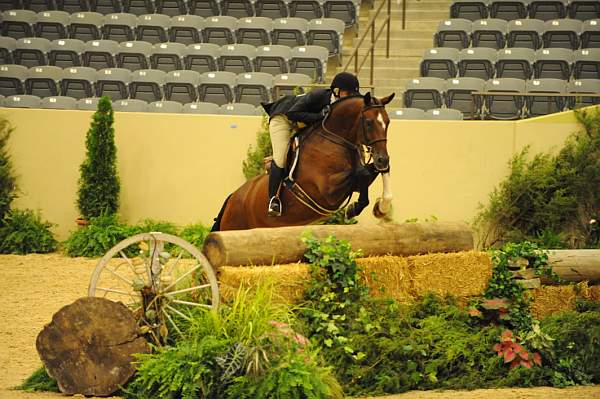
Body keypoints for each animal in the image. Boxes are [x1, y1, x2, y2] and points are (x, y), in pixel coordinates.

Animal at [213, 91, 396, 231]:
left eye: (387, 122)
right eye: (369, 123)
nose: (383, 159)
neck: (337, 139)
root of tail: (232, 197)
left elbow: (367, 175)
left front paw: (378, 209)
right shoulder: (327, 191)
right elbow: (361, 172)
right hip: (233, 226)